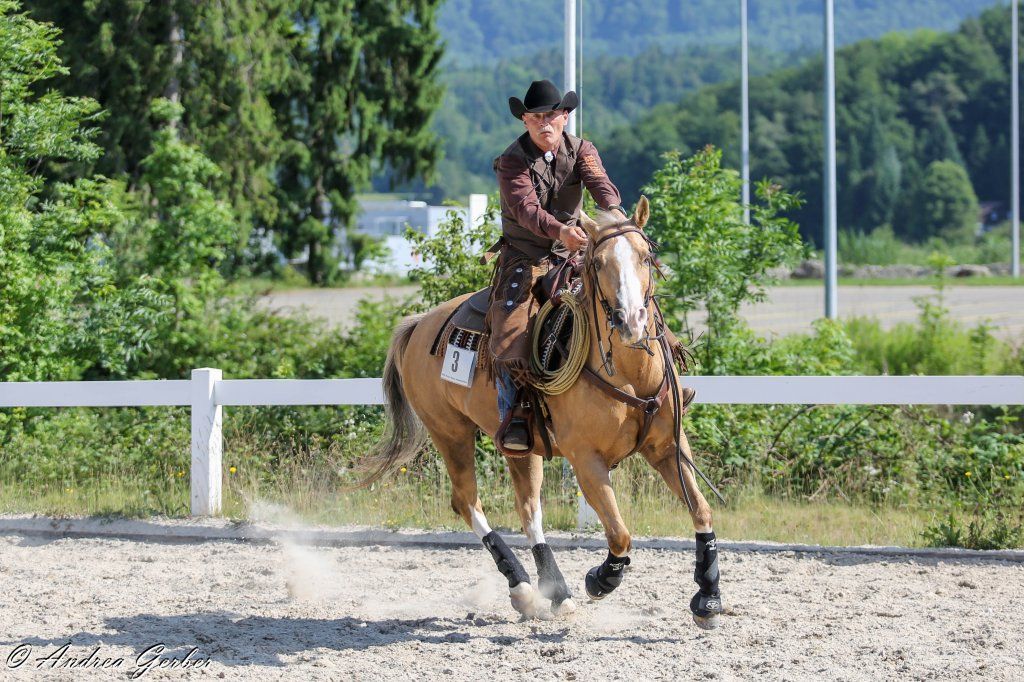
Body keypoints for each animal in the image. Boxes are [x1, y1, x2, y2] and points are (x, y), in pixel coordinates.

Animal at [357, 197, 723, 628]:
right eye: (598, 263)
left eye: (646, 257)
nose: (630, 320)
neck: (630, 375)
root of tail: (419, 325)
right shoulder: (587, 461)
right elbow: (619, 534)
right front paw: (601, 579)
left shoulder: (668, 448)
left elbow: (702, 511)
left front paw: (708, 596)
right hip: (450, 432)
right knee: (467, 502)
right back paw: (522, 587)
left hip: (520, 447)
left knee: (528, 509)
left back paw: (555, 592)